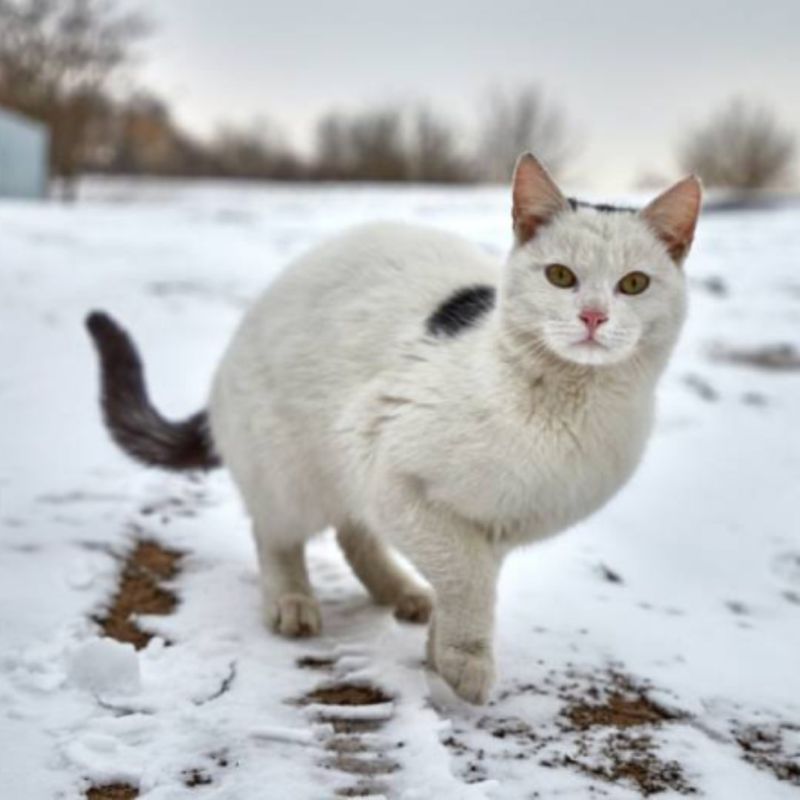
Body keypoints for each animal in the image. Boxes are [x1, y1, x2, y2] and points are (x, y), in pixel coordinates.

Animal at [86, 153, 700, 704]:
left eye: (634, 284)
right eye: (560, 276)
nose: (594, 316)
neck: (563, 408)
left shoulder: (496, 527)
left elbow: (467, 579)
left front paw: (441, 650)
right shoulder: (387, 466)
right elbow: (466, 576)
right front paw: (465, 660)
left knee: (353, 533)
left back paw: (400, 591)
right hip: (293, 469)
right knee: (278, 533)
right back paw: (292, 601)